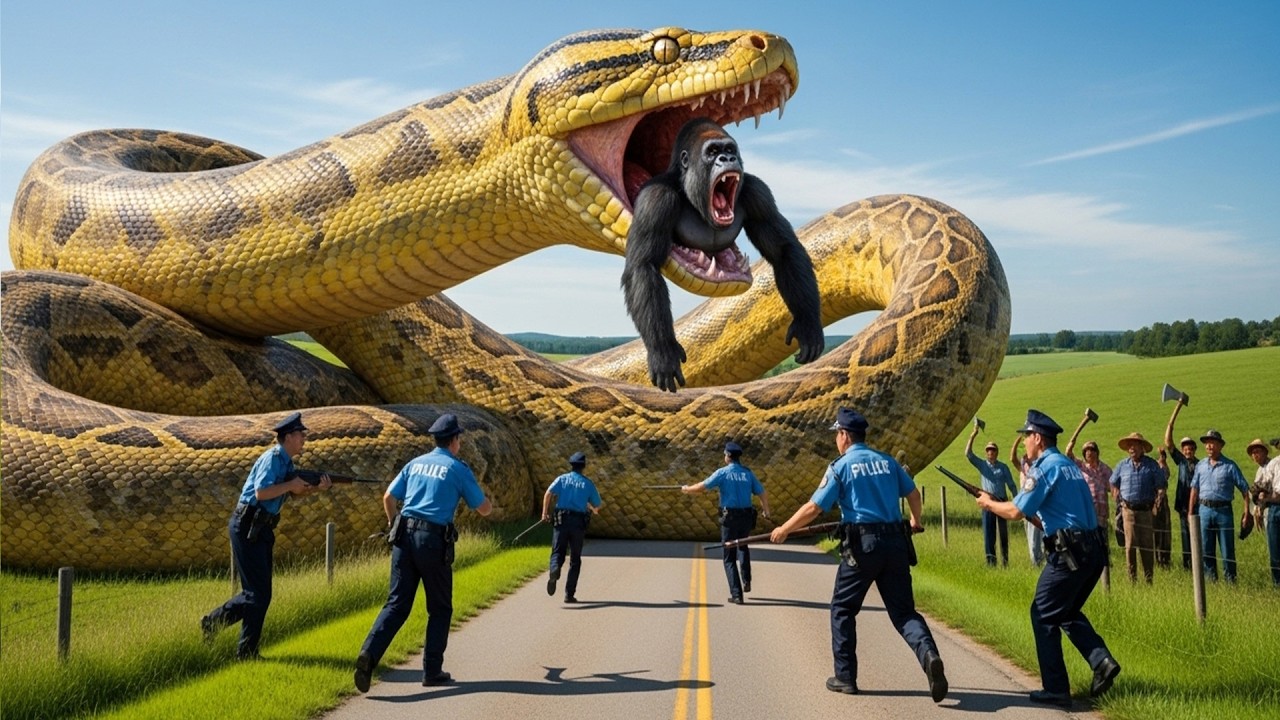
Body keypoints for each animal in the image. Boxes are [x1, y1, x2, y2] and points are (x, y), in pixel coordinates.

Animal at [623, 117, 823, 392]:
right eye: (713, 152)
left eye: (730, 150)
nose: (727, 159)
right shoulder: (655, 200)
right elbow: (643, 265)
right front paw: (663, 351)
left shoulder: (758, 193)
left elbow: (784, 250)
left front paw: (808, 323)